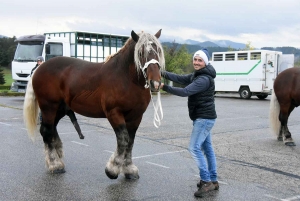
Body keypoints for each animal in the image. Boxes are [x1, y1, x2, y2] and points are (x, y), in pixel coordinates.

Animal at [22, 28, 166, 179]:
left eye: (158, 51)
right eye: (141, 53)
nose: (156, 83)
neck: (127, 79)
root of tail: (39, 69)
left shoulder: (136, 116)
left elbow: (130, 141)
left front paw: (129, 168)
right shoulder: (114, 113)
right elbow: (123, 139)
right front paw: (113, 169)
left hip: (59, 109)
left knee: (50, 130)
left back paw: (57, 160)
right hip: (49, 107)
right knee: (47, 131)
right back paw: (55, 164)